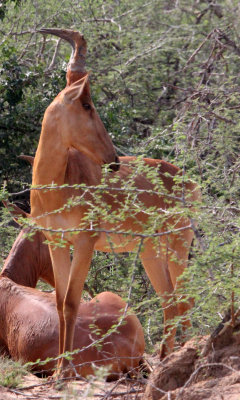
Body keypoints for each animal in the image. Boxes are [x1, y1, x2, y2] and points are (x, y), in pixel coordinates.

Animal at [17, 28, 200, 376]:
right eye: (87, 104)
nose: (112, 160)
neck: (58, 183)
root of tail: (188, 180)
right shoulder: (57, 242)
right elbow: (59, 301)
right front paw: (59, 369)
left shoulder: (85, 241)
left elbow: (72, 301)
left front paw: (65, 372)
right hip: (151, 251)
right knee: (169, 301)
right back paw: (166, 359)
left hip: (178, 244)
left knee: (184, 300)